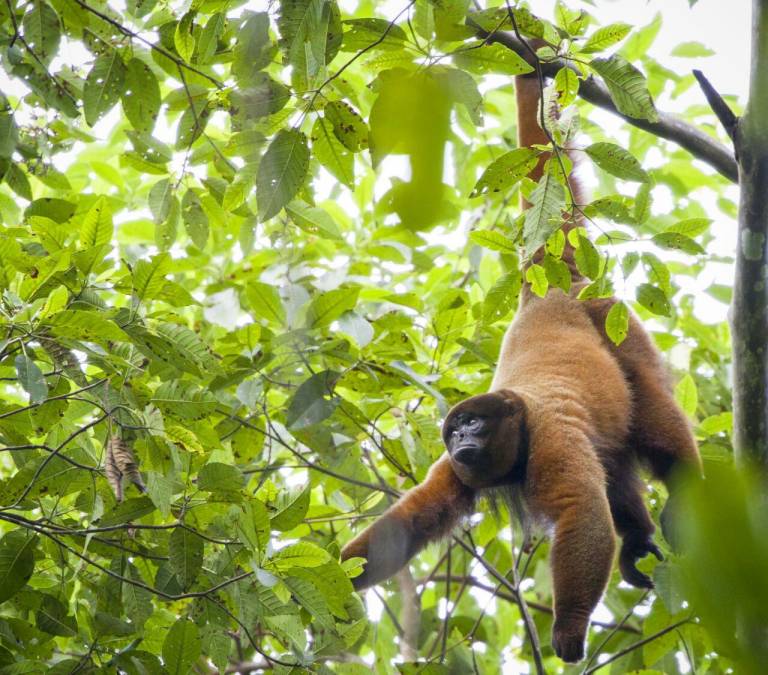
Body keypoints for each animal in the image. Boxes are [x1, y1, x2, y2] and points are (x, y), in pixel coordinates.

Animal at [342, 71, 704, 664]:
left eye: (474, 423)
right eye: (455, 430)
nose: (462, 436)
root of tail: (547, 291)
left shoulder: (550, 436)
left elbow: (584, 512)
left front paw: (569, 631)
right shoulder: (452, 469)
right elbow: (413, 519)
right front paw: (329, 577)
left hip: (610, 314)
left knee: (651, 409)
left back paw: (684, 491)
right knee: (617, 466)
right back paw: (638, 544)